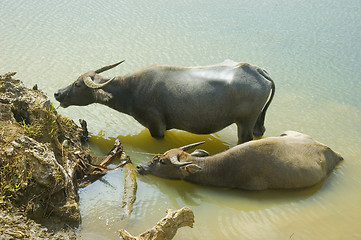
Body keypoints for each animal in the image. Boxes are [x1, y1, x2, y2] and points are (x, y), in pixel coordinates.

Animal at [53, 60, 274, 142]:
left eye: (78, 84)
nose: (57, 93)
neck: (131, 90)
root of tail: (255, 69)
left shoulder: (156, 126)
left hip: (245, 123)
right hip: (256, 121)